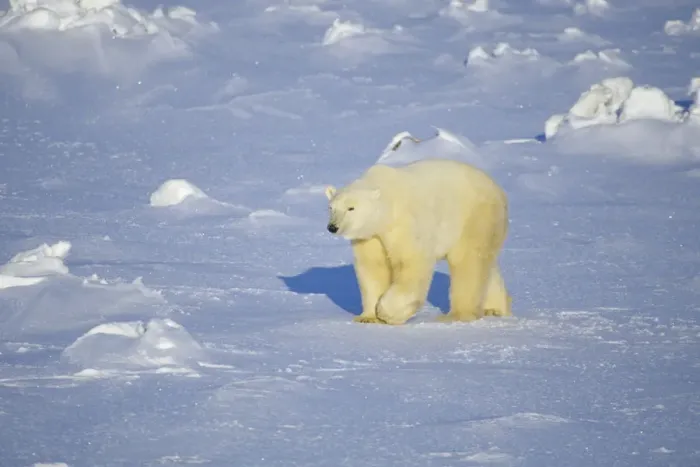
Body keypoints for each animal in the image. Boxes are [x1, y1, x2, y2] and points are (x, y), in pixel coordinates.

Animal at [325, 158, 512, 325]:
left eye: (351, 208)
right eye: (331, 208)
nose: (332, 227)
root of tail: (499, 191)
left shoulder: (405, 225)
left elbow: (412, 264)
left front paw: (387, 314)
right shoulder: (370, 237)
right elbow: (373, 268)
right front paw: (368, 317)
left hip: (475, 217)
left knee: (469, 263)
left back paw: (457, 315)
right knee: (486, 266)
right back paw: (495, 309)